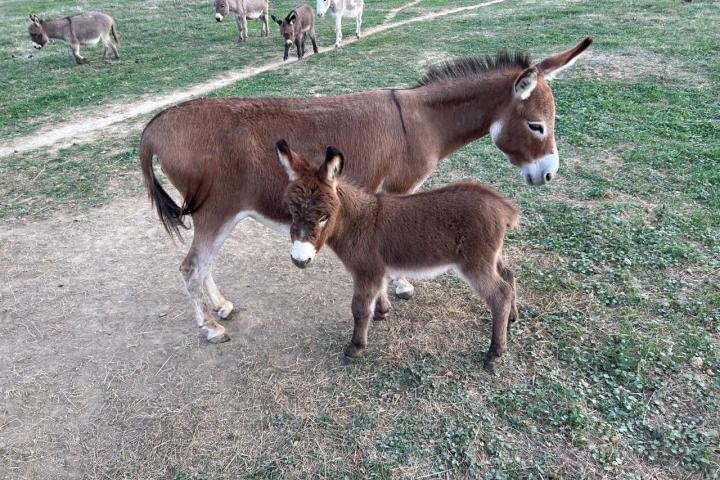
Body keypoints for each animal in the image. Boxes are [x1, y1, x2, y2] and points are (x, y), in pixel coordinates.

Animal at [278, 139, 520, 372]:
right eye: (292, 212)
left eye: (323, 217)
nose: (300, 260)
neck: (356, 222)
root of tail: (502, 206)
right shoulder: (377, 269)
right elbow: (378, 292)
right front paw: (382, 311)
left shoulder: (366, 270)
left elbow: (359, 309)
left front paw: (355, 347)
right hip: (492, 256)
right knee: (508, 276)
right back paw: (511, 318)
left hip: (474, 263)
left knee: (500, 294)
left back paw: (495, 353)